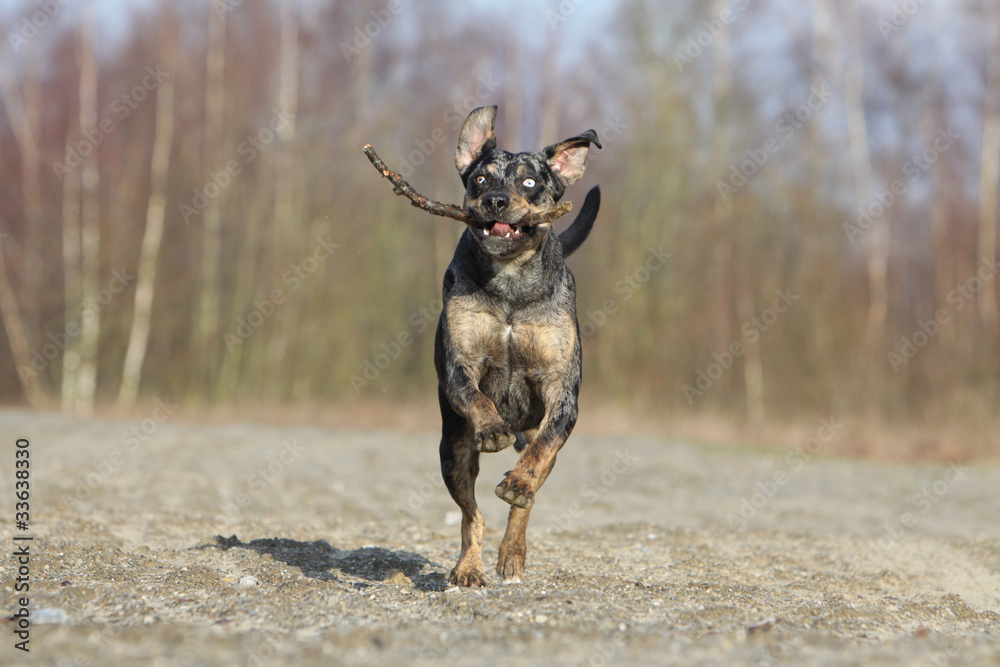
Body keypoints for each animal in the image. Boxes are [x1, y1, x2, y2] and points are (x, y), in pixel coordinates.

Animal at [434, 104, 596, 584]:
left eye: (528, 182)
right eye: (480, 179)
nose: (495, 201)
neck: (510, 283)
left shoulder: (562, 391)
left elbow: (540, 454)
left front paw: (519, 484)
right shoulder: (460, 365)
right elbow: (475, 395)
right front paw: (492, 426)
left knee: (528, 492)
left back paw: (513, 545)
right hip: (451, 450)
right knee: (471, 515)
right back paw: (469, 567)